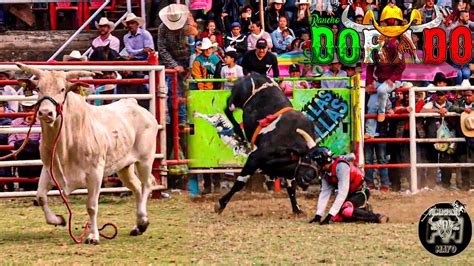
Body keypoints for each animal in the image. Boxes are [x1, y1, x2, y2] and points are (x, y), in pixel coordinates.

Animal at [16, 63, 159, 244]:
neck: (65, 144)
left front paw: (93, 236)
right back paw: (137, 226)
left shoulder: (95, 173)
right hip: (124, 167)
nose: (46, 113)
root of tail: (134, 104)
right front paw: (58, 220)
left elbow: (91, 206)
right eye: (38, 88)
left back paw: (142, 222)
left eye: (62, 89)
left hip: (145, 160)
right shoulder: (49, 169)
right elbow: (41, 196)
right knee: (137, 188)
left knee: (147, 184)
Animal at [214, 72, 318, 214]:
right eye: (307, 157)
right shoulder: (255, 157)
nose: (309, 178)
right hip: (236, 100)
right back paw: (238, 130)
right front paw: (221, 204)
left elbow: (291, 186)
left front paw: (296, 208)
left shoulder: (290, 169)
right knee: (227, 107)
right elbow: (241, 181)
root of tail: (252, 74)